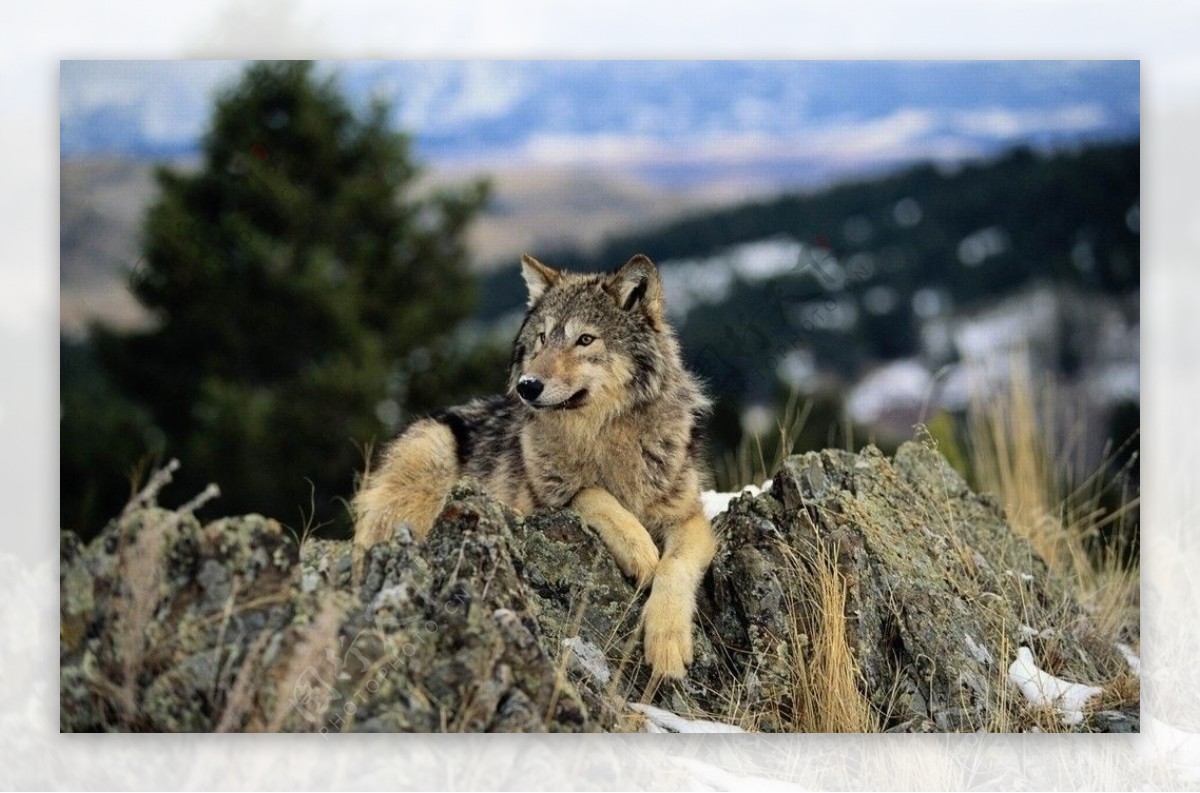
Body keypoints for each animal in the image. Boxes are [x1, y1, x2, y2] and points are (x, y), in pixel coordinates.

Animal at [350, 255, 715, 681]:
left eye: (585, 339)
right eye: (542, 338)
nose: (527, 386)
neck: (604, 437)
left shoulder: (689, 518)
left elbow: (674, 567)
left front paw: (668, 645)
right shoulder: (543, 500)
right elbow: (591, 494)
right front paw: (640, 550)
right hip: (432, 453)